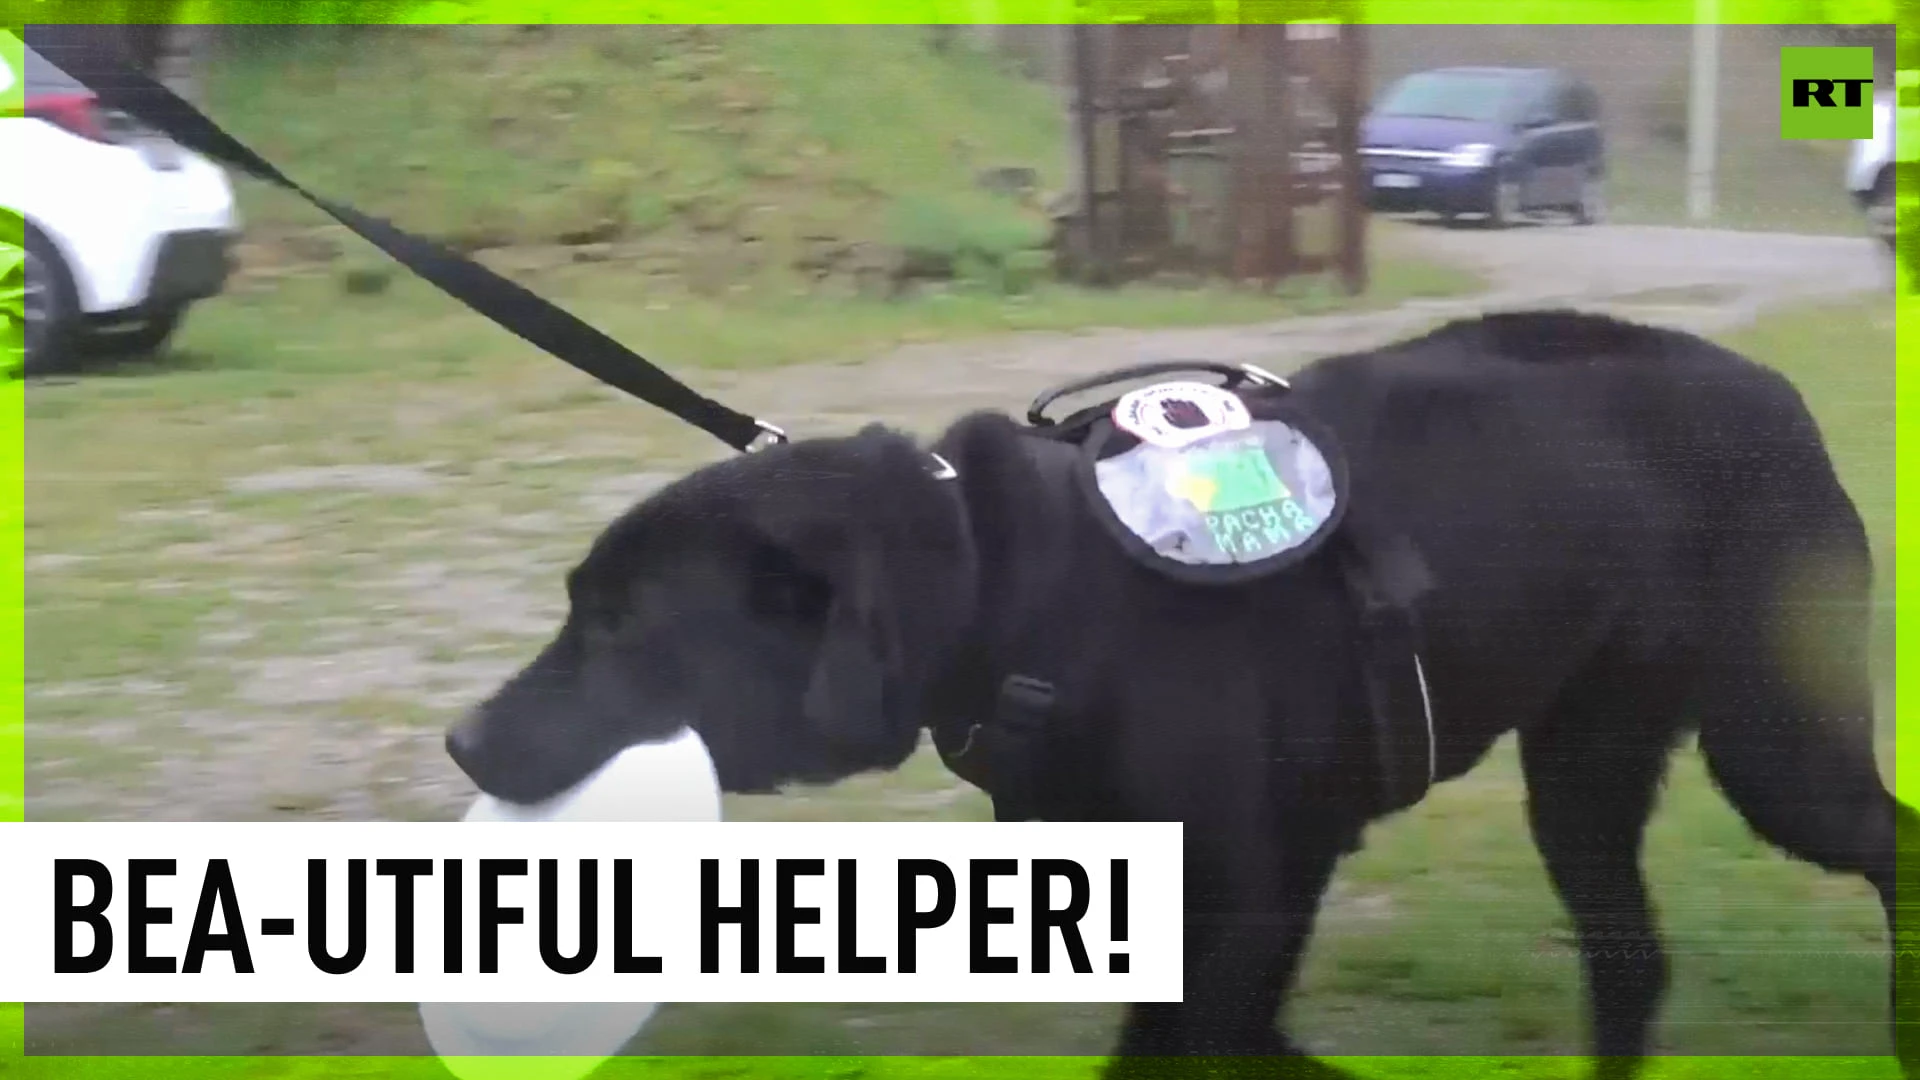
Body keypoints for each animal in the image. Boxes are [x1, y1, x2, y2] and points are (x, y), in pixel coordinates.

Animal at [445, 307, 1904, 1068]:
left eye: (620, 627)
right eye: (577, 607)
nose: (461, 742)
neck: (1005, 584)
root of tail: (1781, 396)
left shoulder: (1249, 897)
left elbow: (1181, 1049)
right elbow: (1231, 1045)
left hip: (1774, 751)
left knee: (1890, 847)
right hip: (1587, 770)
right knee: (1633, 962)